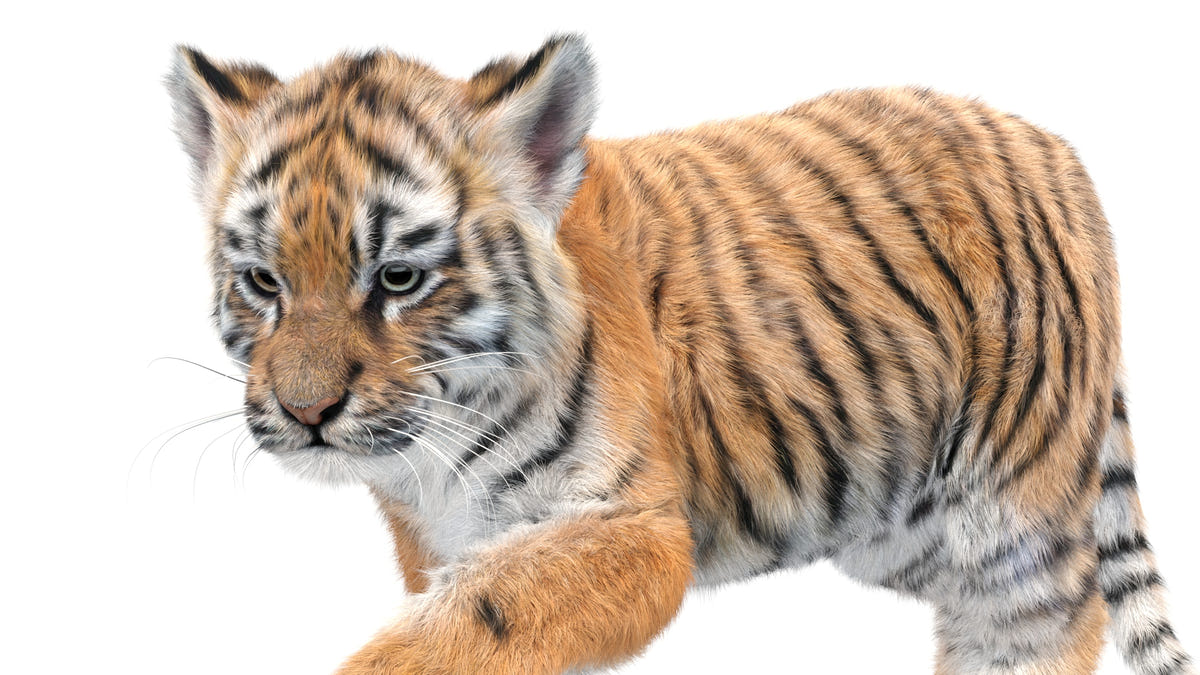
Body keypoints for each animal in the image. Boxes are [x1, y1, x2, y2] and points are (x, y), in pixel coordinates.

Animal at [167, 34, 1194, 674]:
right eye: (262, 281)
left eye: (397, 278)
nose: (305, 413)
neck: (434, 459)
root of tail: (1051, 145)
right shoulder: (448, 542)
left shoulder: (636, 524)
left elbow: (480, 617)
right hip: (894, 512)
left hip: (1008, 505)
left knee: (1053, 615)